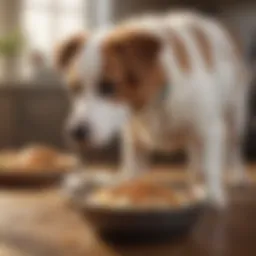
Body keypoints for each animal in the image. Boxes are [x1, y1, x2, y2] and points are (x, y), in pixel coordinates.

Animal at [56, 11, 250, 206]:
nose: (76, 132)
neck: (153, 104)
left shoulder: (209, 129)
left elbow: (211, 165)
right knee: (195, 153)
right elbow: (133, 168)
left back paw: (235, 175)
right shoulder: (133, 136)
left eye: (108, 87)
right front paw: (125, 186)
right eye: (74, 88)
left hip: (235, 117)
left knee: (233, 147)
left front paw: (212, 195)